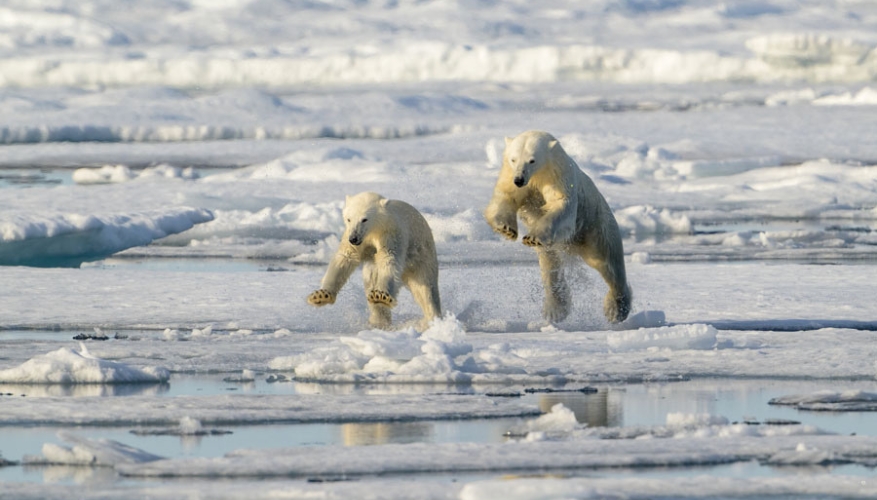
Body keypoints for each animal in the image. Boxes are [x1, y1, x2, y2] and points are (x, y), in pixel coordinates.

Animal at [307, 191, 442, 330]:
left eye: (364, 219)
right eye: (349, 219)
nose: (354, 238)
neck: (373, 231)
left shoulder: (390, 235)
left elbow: (388, 260)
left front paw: (381, 296)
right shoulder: (353, 238)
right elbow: (344, 259)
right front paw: (321, 295)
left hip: (421, 255)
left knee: (425, 289)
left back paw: (432, 320)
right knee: (371, 281)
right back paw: (379, 321)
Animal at [484, 130, 632, 324]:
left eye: (532, 160)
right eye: (513, 159)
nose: (519, 179)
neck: (539, 175)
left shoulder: (558, 176)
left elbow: (560, 205)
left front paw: (532, 237)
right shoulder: (510, 176)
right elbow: (506, 197)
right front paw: (505, 229)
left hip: (596, 227)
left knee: (607, 262)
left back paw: (616, 309)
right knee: (550, 263)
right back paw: (555, 310)